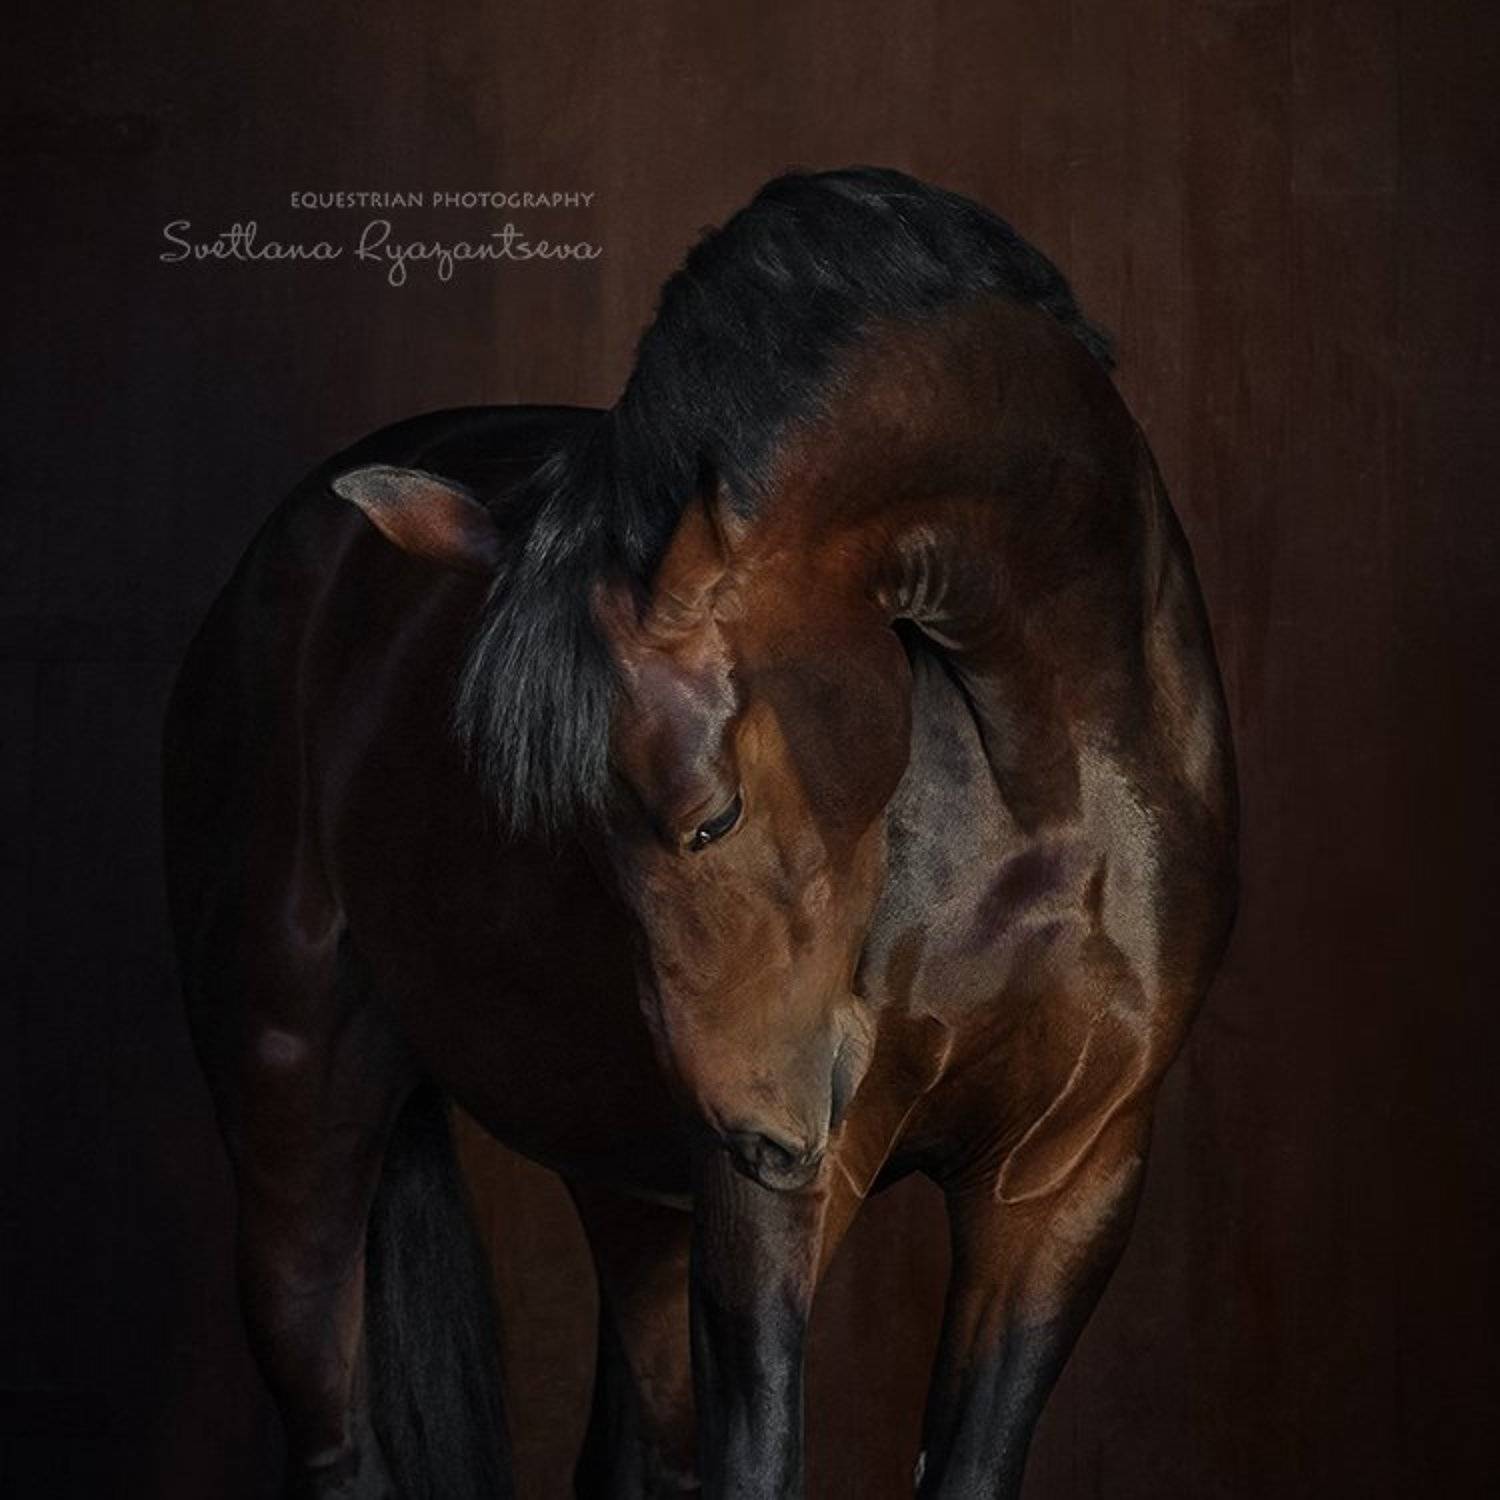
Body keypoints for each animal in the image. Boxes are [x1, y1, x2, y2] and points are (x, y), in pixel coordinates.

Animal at [162, 166, 1237, 1500]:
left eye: (713, 813)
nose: (759, 1132)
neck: (1044, 776)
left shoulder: (1064, 1185)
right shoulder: (770, 1215)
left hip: (638, 1208)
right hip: (295, 1138)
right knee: (338, 1433)